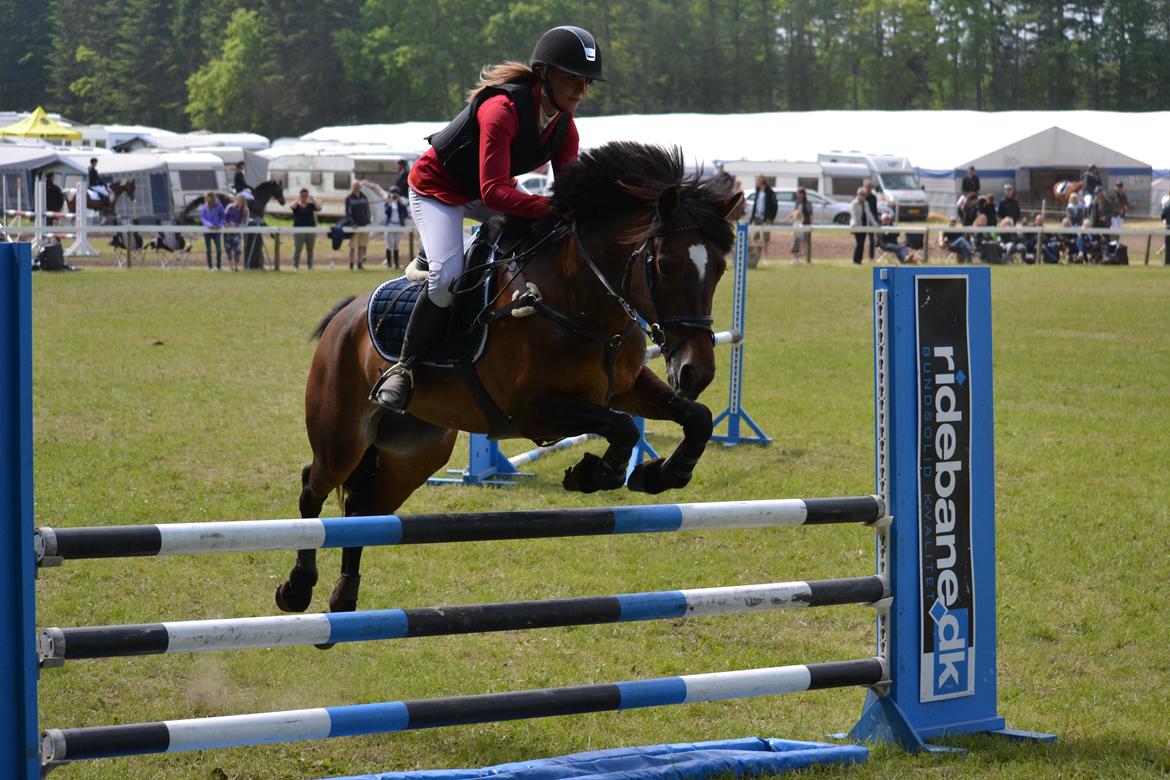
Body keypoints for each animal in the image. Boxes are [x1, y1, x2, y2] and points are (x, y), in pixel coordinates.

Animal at [276, 143, 739, 622]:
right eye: (664, 265)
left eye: (721, 269)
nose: (697, 372)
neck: (579, 301)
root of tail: (346, 317)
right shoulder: (532, 408)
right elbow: (622, 426)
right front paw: (596, 473)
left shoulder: (626, 388)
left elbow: (697, 417)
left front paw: (662, 472)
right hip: (342, 438)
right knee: (314, 486)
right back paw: (297, 588)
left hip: (413, 456)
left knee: (362, 511)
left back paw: (344, 597)